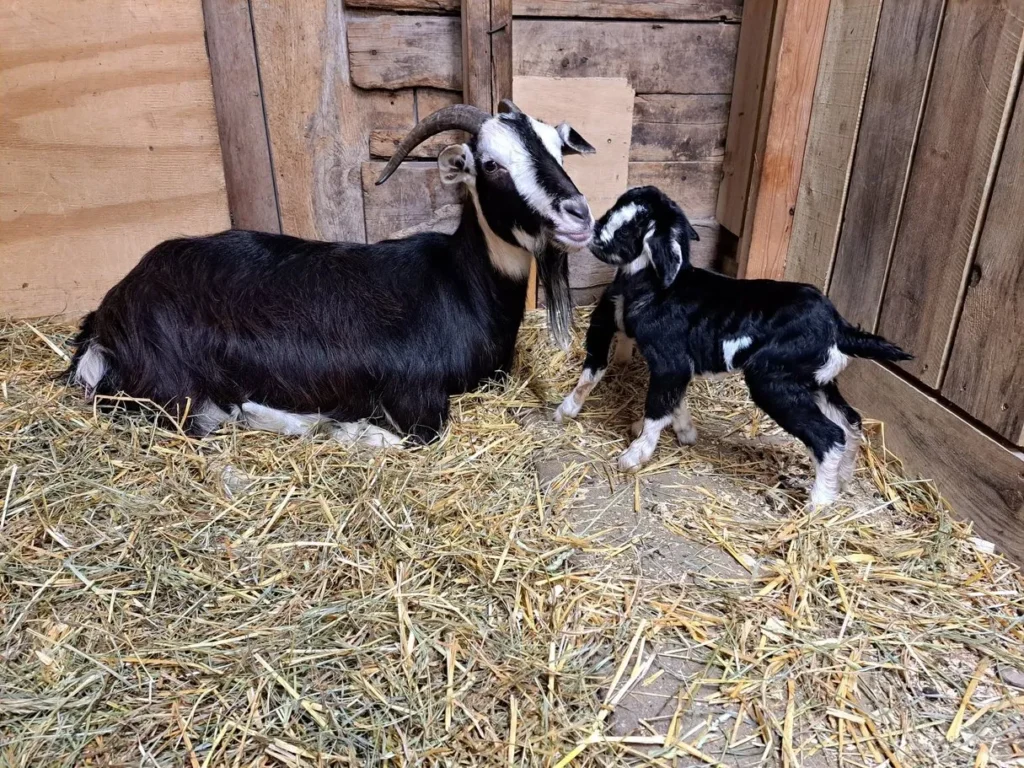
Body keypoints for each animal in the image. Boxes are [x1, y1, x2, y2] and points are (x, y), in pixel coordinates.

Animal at [68, 101, 596, 445]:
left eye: (558, 150)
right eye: (490, 164)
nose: (578, 214)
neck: (460, 284)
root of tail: (114, 307)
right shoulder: (413, 392)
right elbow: (422, 434)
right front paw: (349, 430)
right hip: (173, 384)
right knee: (201, 417)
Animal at [554, 186, 912, 505]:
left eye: (629, 228)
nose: (593, 232)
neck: (658, 286)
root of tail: (839, 328)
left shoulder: (670, 362)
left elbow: (654, 405)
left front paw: (634, 455)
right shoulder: (675, 366)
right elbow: (671, 400)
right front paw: (685, 432)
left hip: (772, 378)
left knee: (829, 435)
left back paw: (818, 504)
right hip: (815, 379)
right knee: (850, 421)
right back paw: (845, 481)